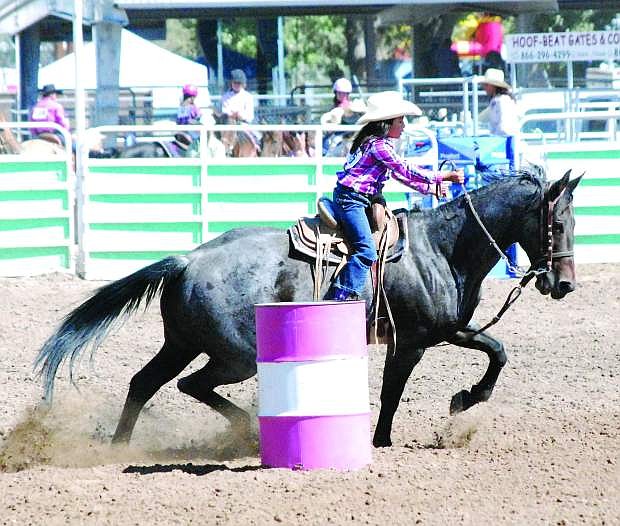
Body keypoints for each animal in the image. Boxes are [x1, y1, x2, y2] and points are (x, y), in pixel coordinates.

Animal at [35, 169, 580, 450]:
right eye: (557, 224)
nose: (564, 285)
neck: (441, 248)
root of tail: (189, 259)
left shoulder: (449, 329)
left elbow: (498, 350)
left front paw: (465, 399)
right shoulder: (414, 341)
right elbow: (392, 391)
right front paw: (382, 440)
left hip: (183, 342)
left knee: (144, 382)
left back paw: (118, 447)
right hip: (234, 356)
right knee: (190, 385)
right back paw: (243, 430)